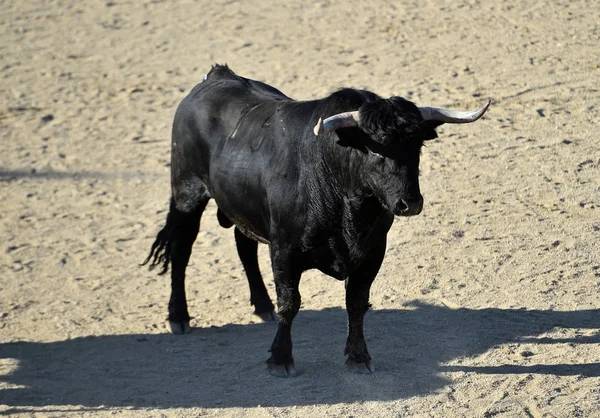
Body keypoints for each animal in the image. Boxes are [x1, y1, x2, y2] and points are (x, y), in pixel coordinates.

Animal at [144, 64, 488, 376]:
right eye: (376, 149)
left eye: (417, 146)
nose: (410, 203)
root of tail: (217, 76)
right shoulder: (284, 250)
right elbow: (290, 303)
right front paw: (280, 359)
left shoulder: (372, 252)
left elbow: (357, 302)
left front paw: (358, 357)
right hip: (187, 193)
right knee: (182, 249)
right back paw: (178, 317)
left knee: (244, 246)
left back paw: (262, 306)